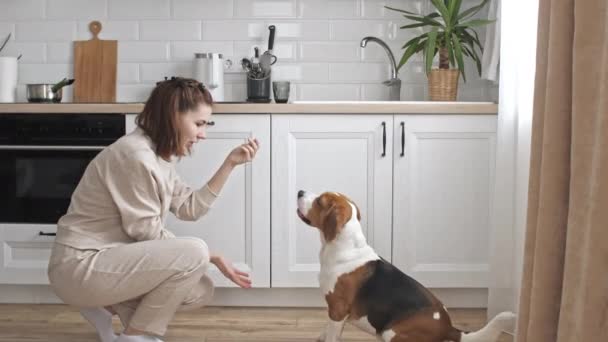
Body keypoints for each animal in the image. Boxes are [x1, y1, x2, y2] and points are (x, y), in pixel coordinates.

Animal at [296, 191, 516, 340]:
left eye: (319, 201)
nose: (299, 192)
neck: (344, 247)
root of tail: (448, 327)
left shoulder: (338, 310)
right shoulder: (333, 311)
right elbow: (325, 332)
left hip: (391, 332)